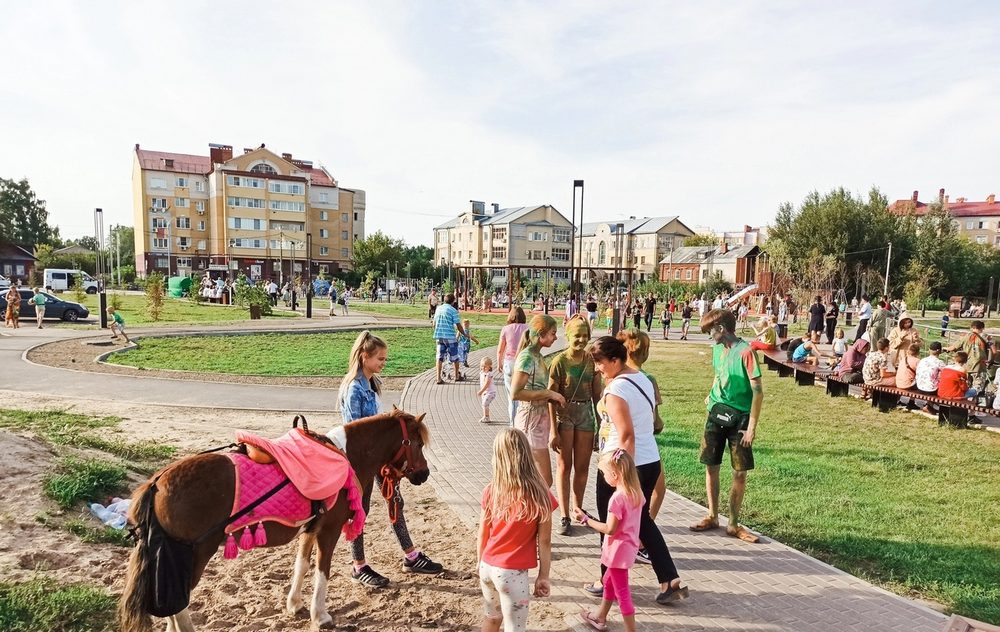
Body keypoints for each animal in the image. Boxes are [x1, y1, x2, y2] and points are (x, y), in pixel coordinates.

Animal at [118, 408, 430, 632]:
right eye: (416, 443)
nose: (424, 474)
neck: (342, 456)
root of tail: (157, 482)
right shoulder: (328, 531)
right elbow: (322, 571)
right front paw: (320, 615)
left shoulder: (310, 529)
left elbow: (301, 565)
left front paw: (294, 604)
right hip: (192, 555)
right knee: (178, 603)